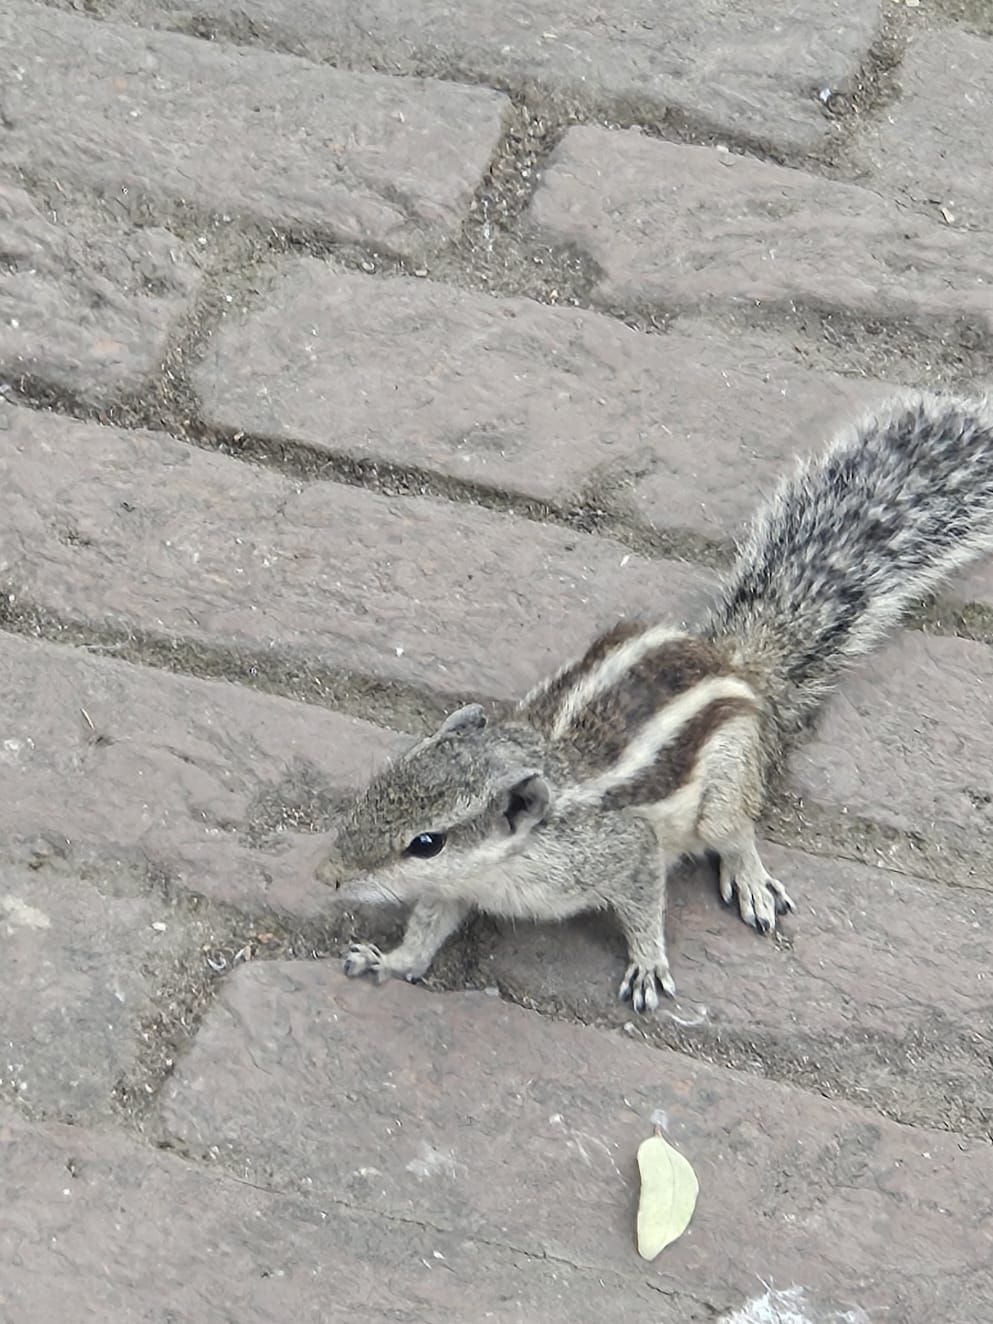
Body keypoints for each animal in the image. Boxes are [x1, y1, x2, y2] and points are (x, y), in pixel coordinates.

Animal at [313, 391, 993, 1013]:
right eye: (376, 789)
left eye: (426, 843)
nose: (327, 875)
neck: (512, 857)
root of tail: (732, 663)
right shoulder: (459, 888)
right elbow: (429, 925)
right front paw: (390, 960)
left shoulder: (623, 850)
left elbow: (643, 902)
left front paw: (647, 963)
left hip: (727, 780)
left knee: (736, 830)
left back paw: (749, 878)